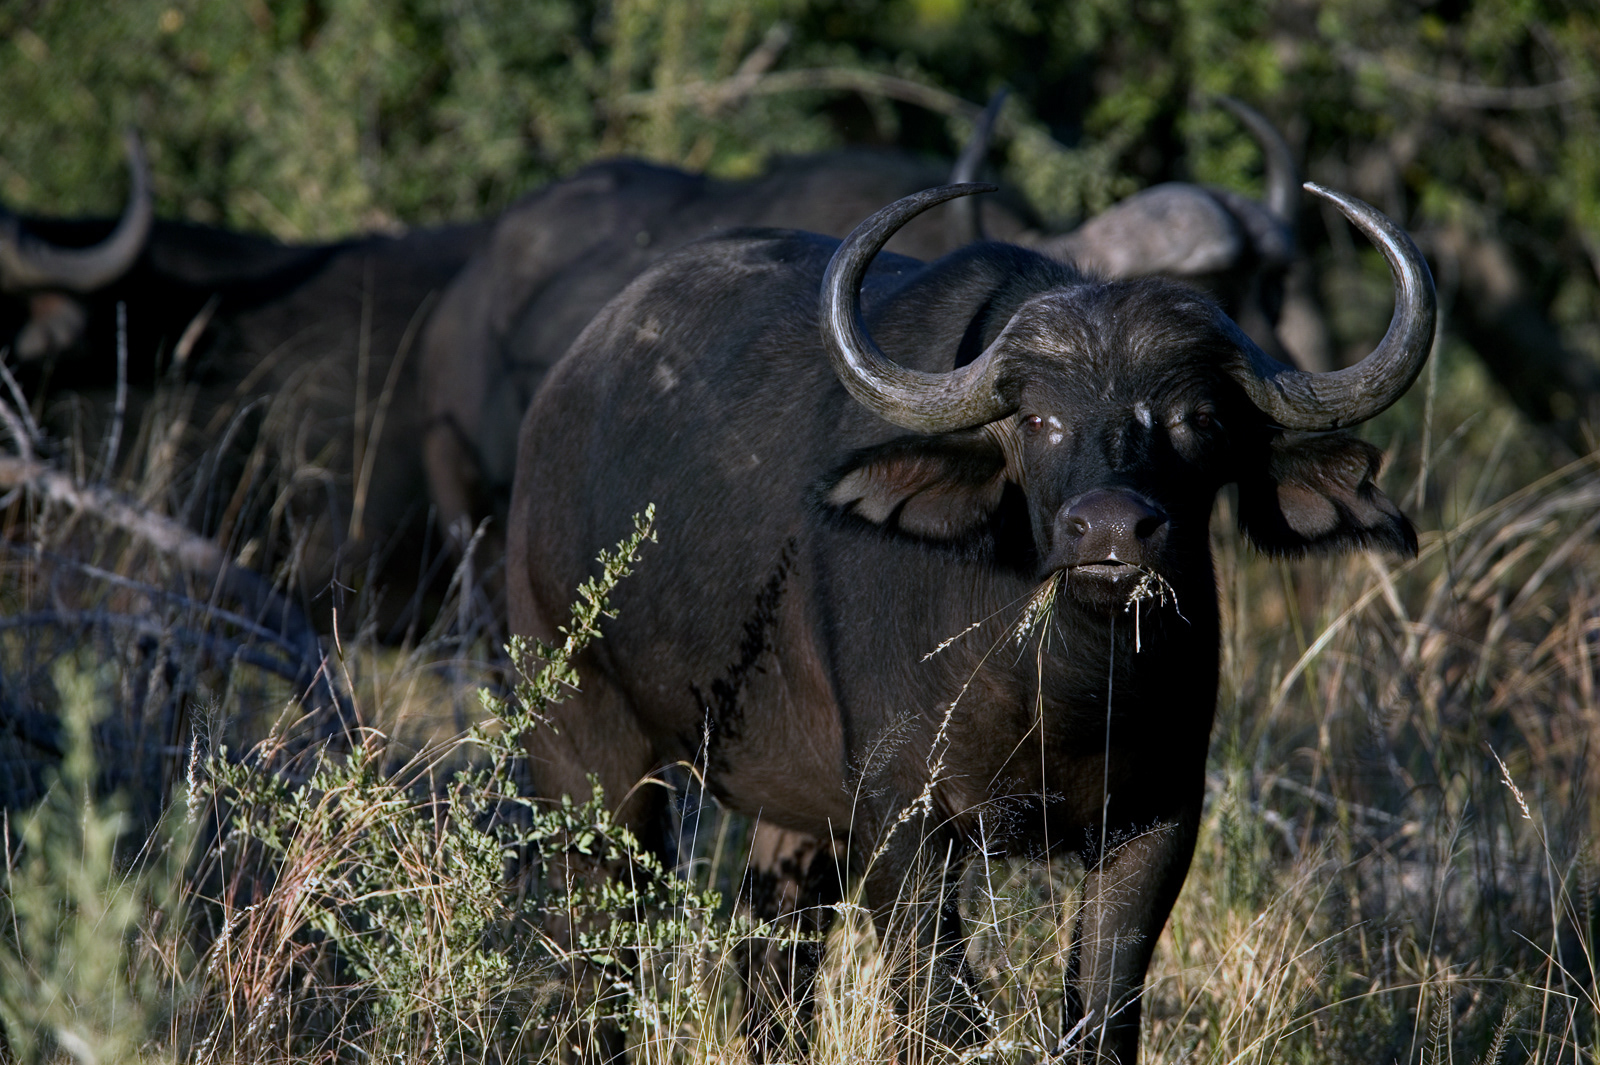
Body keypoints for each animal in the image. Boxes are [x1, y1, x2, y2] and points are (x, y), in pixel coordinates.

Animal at [505, 180, 1433, 1060]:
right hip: (585, 746)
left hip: (793, 811)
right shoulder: (904, 821)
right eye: (1037, 418)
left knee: (773, 956)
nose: (1111, 531)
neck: (1058, 688)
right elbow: (942, 1011)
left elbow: (1101, 1016)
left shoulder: (1158, 818)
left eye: (1197, 418)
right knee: (595, 946)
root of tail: (558, 399)